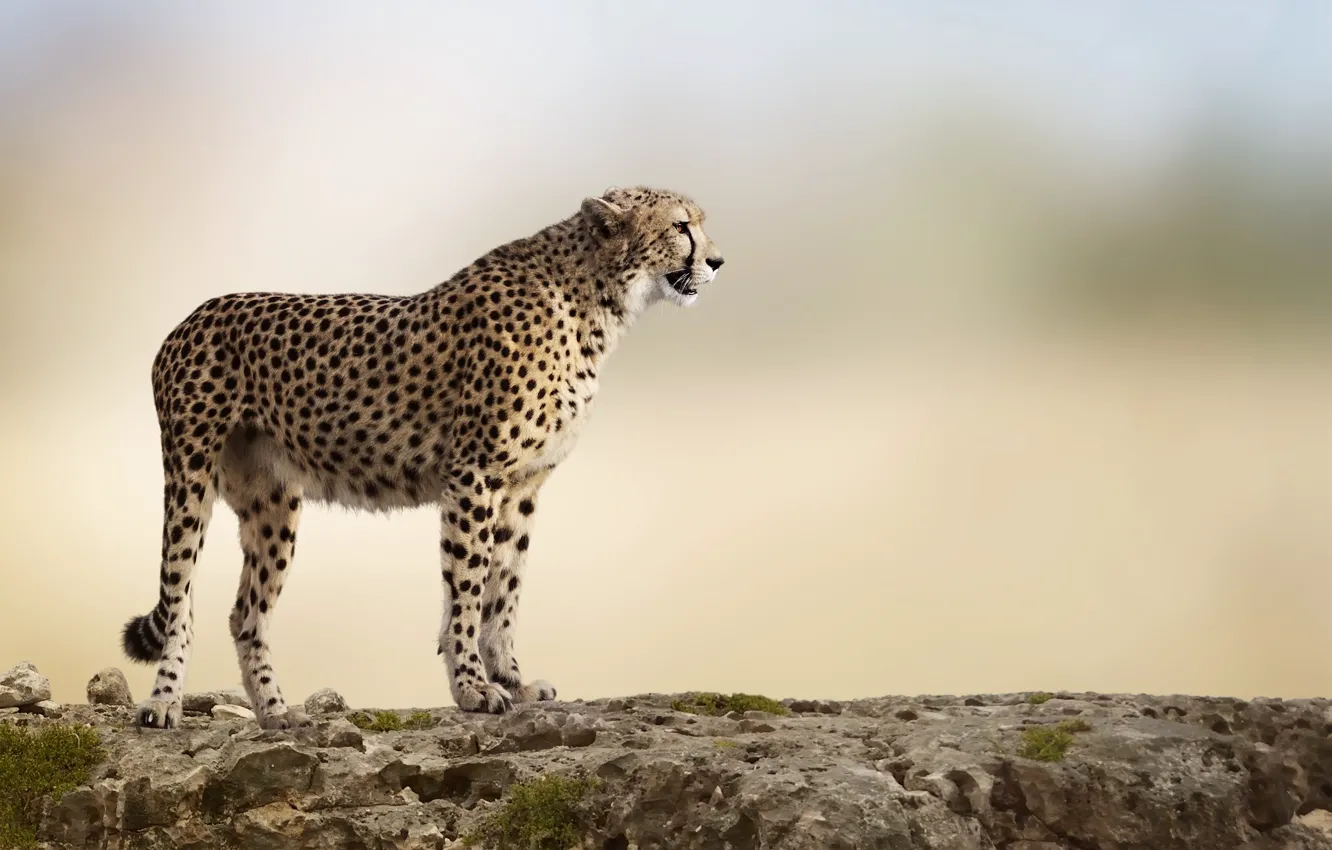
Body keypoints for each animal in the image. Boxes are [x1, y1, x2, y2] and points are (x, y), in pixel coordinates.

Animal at [120, 186, 725, 728]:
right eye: (681, 226)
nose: (717, 261)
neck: (594, 300)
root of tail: (191, 317)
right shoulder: (475, 474)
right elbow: (468, 587)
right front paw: (473, 688)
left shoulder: (522, 486)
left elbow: (505, 590)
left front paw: (512, 681)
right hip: (190, 477)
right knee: (179, 600)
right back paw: (164, 703)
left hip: (273, 503)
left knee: (246, 614)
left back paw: (275, 713)